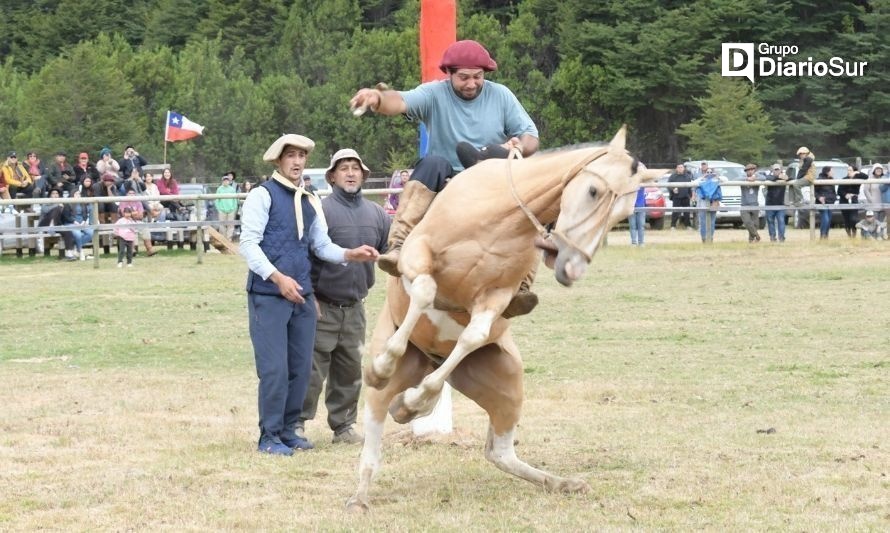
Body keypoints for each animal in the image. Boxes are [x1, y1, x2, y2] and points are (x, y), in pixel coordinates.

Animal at [346, 125, 660, 512]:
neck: (500, 216)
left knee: (499, 452)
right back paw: (360, 494)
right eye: (593, 190)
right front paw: (384, 367)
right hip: (388, 386)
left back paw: (561, 482)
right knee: (374, 438)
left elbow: (474, 335)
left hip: (508, 384)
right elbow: (424, 291)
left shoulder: (495, 297)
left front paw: (417, 401)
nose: (571, 267)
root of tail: (430, 358)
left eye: (623, 211)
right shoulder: (419, 254)